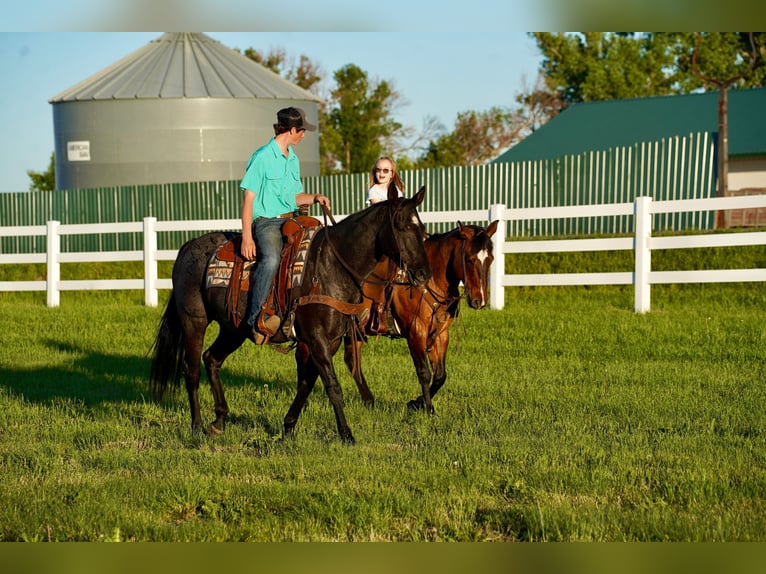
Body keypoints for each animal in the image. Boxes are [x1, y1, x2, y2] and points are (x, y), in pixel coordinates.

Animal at [150, 187, 432, 448]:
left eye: (421, 228)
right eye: (403, 227)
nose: (423, 273)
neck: (330, 267)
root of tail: (187, 247)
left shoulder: (329, 341)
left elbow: (307, 384)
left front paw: (288, 426)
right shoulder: (317, 340)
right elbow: (333, 386)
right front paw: (346, 434)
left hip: (233, 329)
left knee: (212, 359)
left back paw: (219, 420)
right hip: (194, 321)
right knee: (192, 370)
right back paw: (197, 426)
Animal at [344, 220, 500, 414]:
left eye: (490, 259)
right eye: (469, 259)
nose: (480, 301)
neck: (430, 281)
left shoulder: (440, 334)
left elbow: (440, 375)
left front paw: (416, 403)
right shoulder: (416, 333)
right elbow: (424, 372)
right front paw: (428, 408)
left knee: (352, 360)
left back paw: (369, 400)